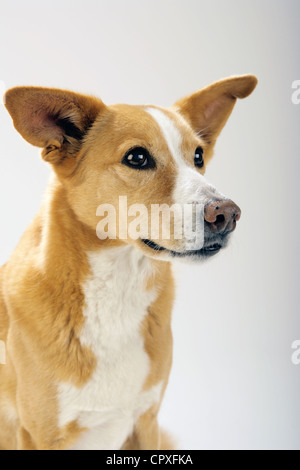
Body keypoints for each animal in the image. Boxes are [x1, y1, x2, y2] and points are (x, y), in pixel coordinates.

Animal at [0, 75, 258, 450]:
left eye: (198, 156)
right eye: (137, 157)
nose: (227, 214)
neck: (118, 286)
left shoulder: (146, 421)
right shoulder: (40, 434)